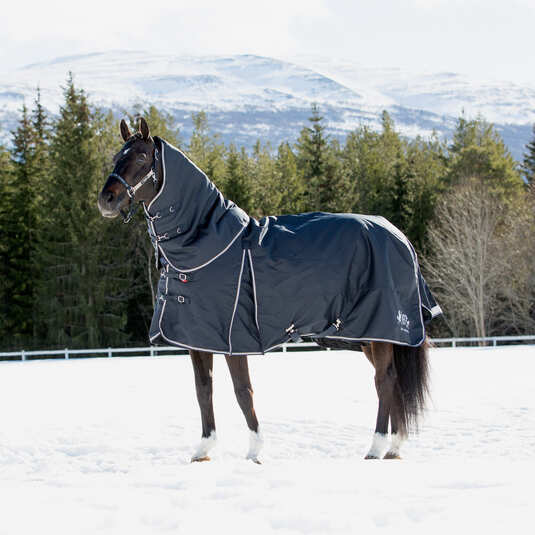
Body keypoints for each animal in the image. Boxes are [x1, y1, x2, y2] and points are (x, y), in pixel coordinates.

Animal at [97, 118, 440, 464]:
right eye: (115, 156)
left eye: (141, 157)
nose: (106, 200)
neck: (209, 245)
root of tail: (399, 237)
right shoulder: (197, 339)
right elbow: (203, 390)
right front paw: (204, 450)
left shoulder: (232, 339)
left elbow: (242, 391)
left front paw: (254, 451)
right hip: (373, 336)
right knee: (393, 382)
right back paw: (393, 447)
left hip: (380, 331)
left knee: (384, 381)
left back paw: (376, 447)